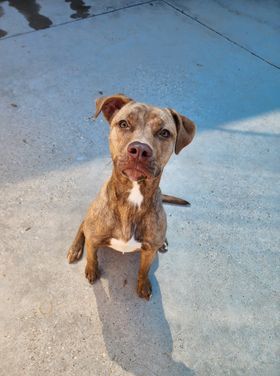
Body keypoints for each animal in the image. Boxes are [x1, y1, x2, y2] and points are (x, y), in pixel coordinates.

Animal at [67, 94, 196, 300]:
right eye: (124, 124)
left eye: (164, 133)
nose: (140, 149)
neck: (133, 198)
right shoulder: (94, 239)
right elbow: (92, 257)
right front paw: (91, 270)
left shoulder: (148, 250)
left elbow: (144, 269)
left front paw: (143, 285)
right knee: (82, 225)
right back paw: (75, 248)